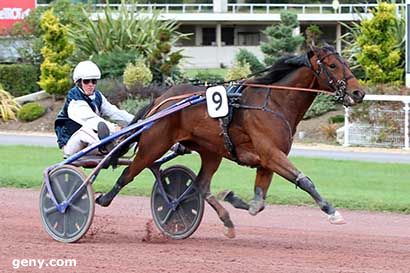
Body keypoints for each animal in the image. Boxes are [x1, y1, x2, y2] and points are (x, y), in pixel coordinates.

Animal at [95, 45, 366, 237]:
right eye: (332, 65)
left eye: (346, 62)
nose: (358, 92)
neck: (274, 103)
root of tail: (162, 100)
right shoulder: (272, 154)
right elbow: (305, 181)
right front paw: (333, 212)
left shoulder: (267, 161)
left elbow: (258, 203)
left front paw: (232, 197)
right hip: (154, 145)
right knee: (129, 172)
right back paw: (102, 198)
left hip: (211, 152)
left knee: (201, 185)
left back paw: (224, 219)